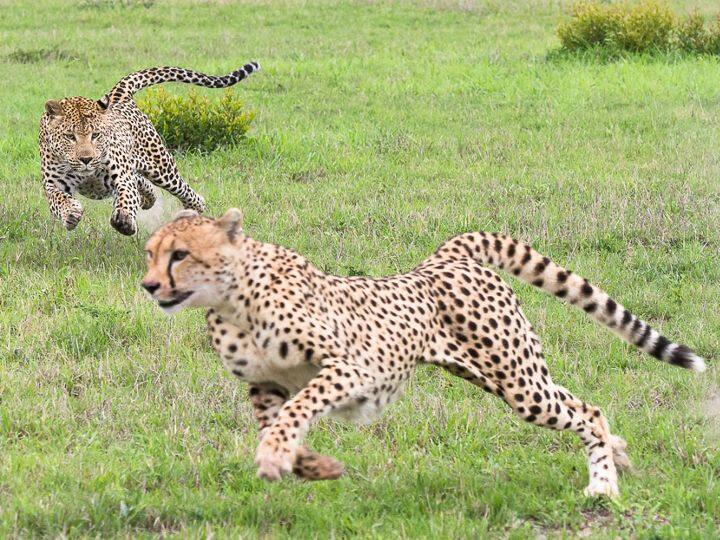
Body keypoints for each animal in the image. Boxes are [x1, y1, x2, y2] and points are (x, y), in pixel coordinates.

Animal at [39, 62, 260, 236]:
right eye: (70, 137)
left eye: (96, 135)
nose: (86, 159)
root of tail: (119, 97)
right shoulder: (53, 184)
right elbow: (58, 200)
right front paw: (70, 213)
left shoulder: (122, 177)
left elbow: (126, 197)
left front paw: (124, 220)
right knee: (143, 183)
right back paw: (148, 200)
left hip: (161, 167)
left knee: (184, 190)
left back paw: (193, 210)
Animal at [141, 208, 707, 497]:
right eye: (150, 253)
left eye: (180, 255)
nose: (148, 285)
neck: (233, 300)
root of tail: (443, 257)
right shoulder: (263, 386)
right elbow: (278, 425)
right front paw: (314, 466)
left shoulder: (352, 366)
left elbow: (296, 413)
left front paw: (278, 455)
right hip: (505, 374)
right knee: (578, 402)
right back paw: (618, 454)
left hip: (517, 381)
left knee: (586, 409)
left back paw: (603, 485)